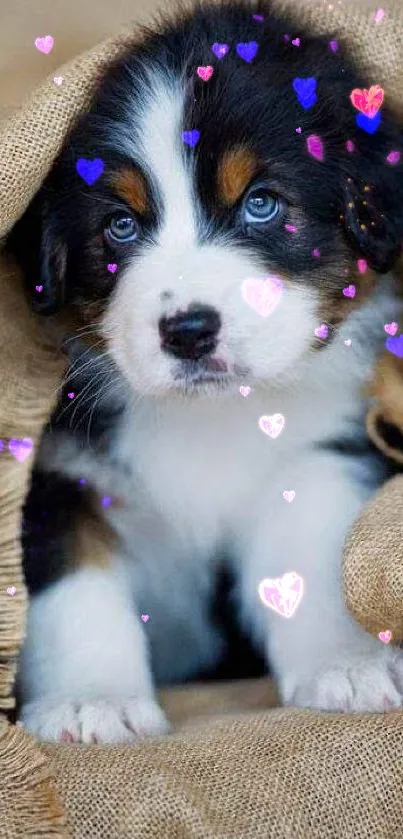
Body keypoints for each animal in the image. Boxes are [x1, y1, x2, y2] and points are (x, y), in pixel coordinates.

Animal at [7, 1, 403, 748]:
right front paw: (89, 702)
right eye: (120, 225)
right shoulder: (63, 474)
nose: (189, 331)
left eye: (261, 203)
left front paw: (349, 661)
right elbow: (76, 589)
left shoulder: (320, 451)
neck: (211, 418)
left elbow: (313, 557)